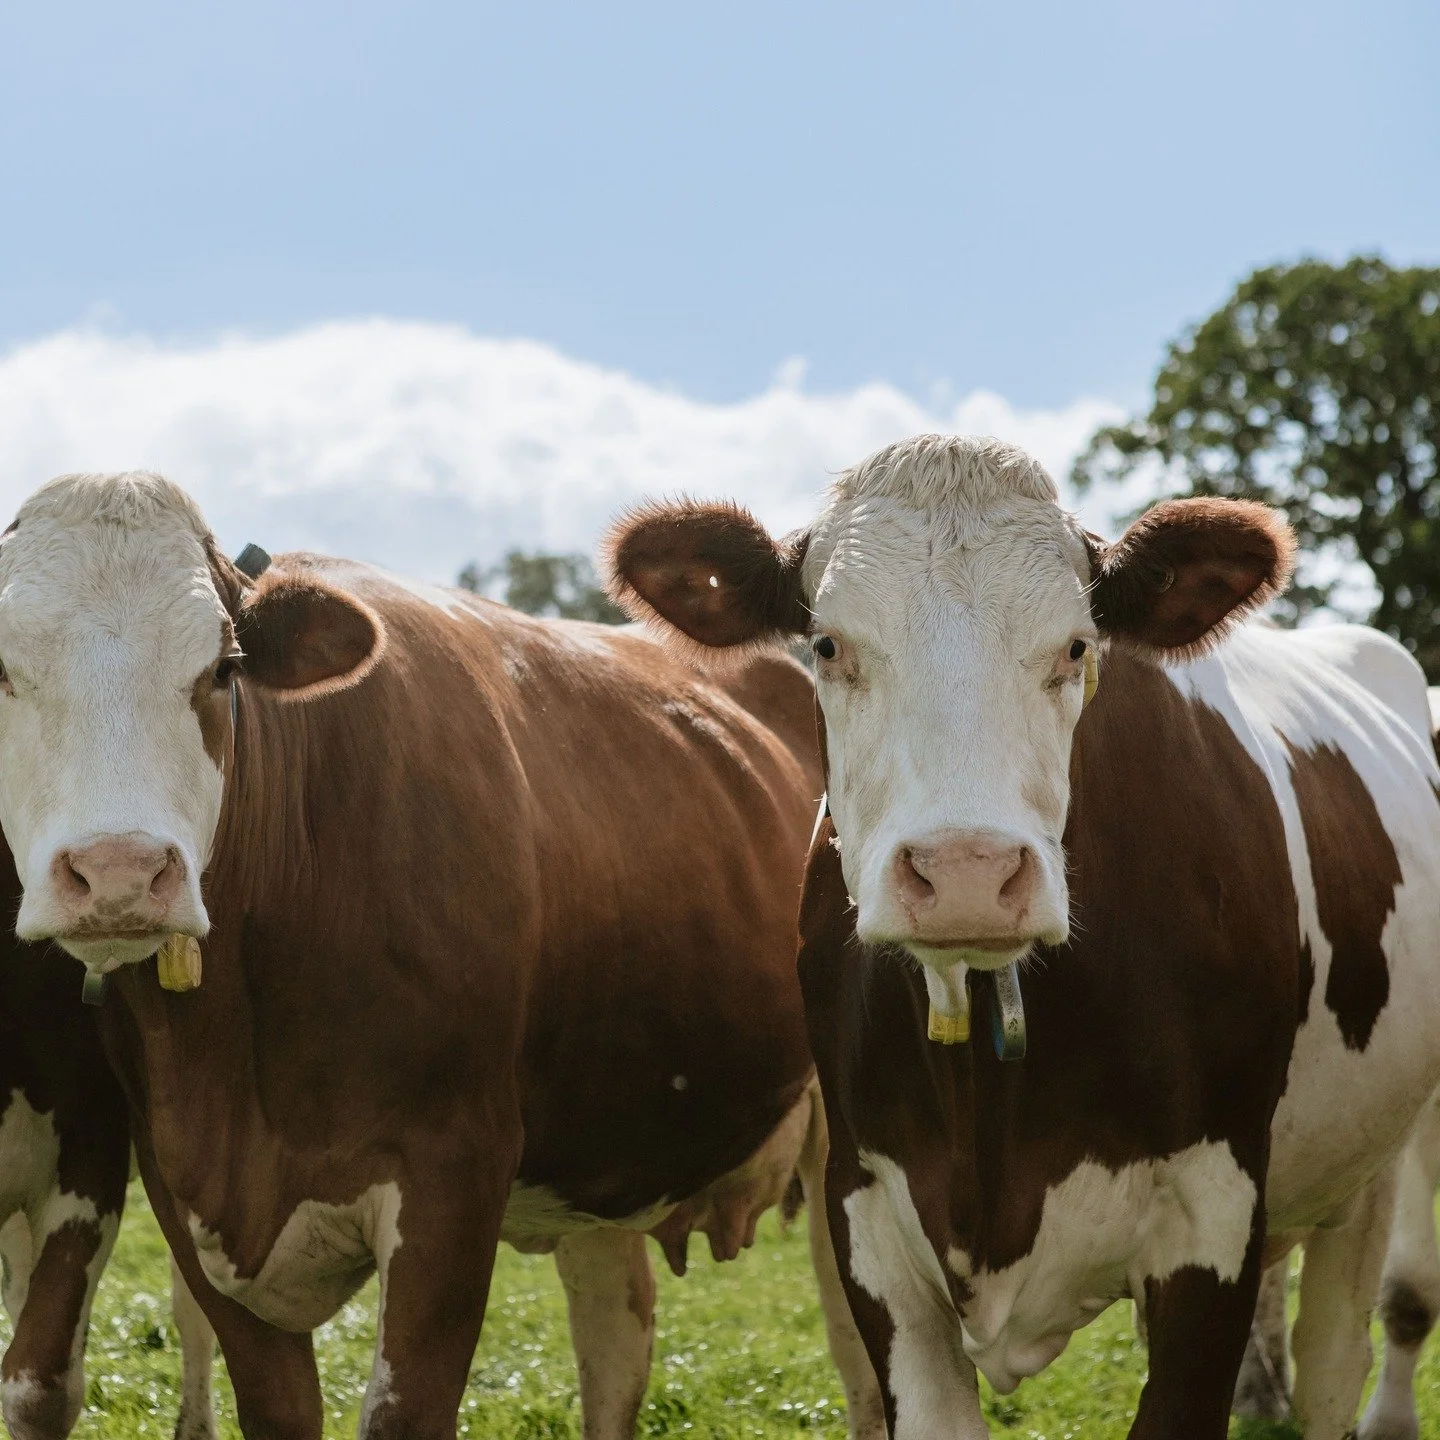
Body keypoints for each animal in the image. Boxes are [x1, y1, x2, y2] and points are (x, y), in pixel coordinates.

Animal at [0, 470, 881, 1440]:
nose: (119, 871)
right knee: (617, 1339)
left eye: (223, 668)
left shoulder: (454, 1176)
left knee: (859, 1362)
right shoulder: (182, 1190)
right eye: (0, 668)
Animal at [606, 433, 1440, 1440]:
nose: (965, 871)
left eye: (1077, 646)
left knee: (1348, 1347)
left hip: (1375, 1165)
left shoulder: (1213, 1220)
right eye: (827, 644)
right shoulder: (868, 1222)